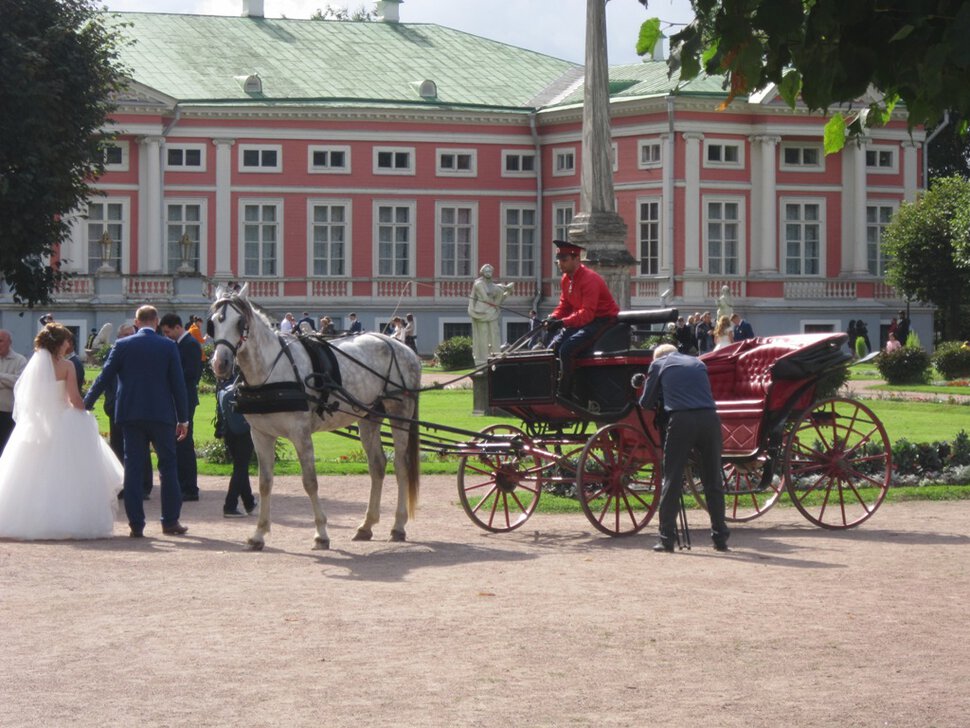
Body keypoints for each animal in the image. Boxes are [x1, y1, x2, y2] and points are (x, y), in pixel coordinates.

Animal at [208, 284, 420, 552]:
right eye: (213, 323)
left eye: (240, 322)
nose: (221, 363)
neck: (270, 372)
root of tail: (403, 347)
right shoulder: (261, 435)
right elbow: (265, 482)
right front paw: (259, 533)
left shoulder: (301, 435)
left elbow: (310, 482)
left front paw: (321, 533)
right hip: (368, 417)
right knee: (378, 465)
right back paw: (366, 525)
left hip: (399, 415)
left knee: (401, 465)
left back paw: (398, 526)